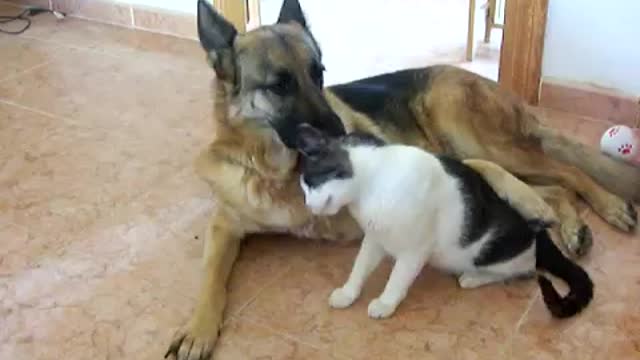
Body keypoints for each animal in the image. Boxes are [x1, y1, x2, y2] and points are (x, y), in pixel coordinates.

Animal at [296, 124, 596, 320]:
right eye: (304, 189)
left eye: (310, 183)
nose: (308, 206)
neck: (371, 189)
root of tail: (535, 233)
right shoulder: (375, 238)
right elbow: (359, 267)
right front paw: (348, 293)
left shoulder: (415, 250)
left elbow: (397, 278)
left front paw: (385, 303)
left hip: (497, 253)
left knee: (523, 270)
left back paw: (473, 278)